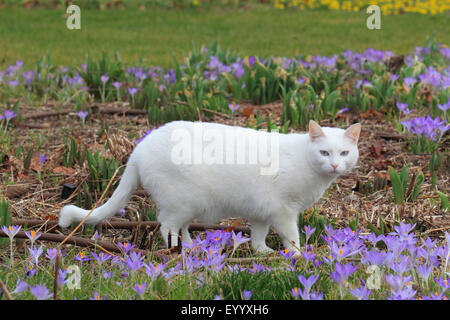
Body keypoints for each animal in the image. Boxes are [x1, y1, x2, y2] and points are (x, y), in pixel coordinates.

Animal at [59, 120, 360, 255]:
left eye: (344, 153)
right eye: (324, 152)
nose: (335, 165)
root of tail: (141, 146)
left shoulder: (263, 211)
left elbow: (258, 235)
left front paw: (262, 251)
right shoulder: (284, 211)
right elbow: (292, 236)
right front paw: (297, 256)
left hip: (189, 206)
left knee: (179, 227)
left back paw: (193, 247)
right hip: (181, 203)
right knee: (166, 226)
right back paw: (179, 251)